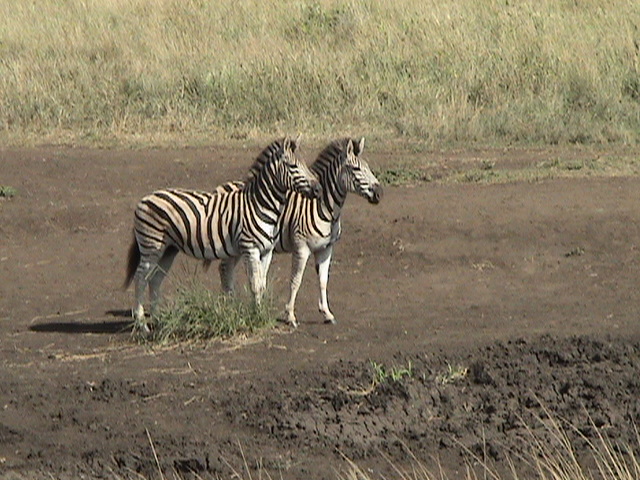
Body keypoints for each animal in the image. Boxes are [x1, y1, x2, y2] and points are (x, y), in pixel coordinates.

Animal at [122, 135, 320, 334]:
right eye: (293, 166)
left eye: (305, 164)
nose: (318, 189)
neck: (261, 205)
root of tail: (144, 199)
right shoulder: (250, 248)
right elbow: (255, 285)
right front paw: (256, 318)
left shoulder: (267, 251)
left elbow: (262, 286)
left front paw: (262, 314)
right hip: (151, 246)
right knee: (140, 278)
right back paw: (142, 324)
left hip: (168, 249)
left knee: (155, 280)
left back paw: (158, 320)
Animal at [212, 137, 382, 328]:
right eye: (356, 169)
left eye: (367, 167)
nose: (379, 193)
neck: (325, 207)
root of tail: (221, 186)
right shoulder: (301, 248)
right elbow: (296, 281)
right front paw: (290, 316)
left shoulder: (326, 249)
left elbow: (323, 281)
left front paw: (327, 313)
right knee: (225, 268)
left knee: (225, 269)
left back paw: (229, 305)